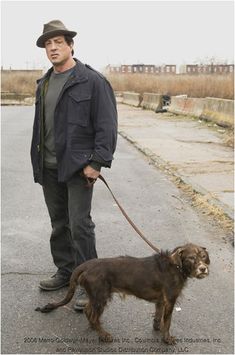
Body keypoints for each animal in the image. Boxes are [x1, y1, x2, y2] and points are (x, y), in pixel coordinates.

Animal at [36, 243, 209, 346]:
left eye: (204, 257)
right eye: (191, 258)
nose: (203, 269)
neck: (176, 266)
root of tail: (86, 265)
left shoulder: (161, 301)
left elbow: (158, 317)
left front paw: (157, 328)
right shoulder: (170, 300)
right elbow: (168, 322)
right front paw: (167, 339)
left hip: (96, 296)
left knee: (88, 310)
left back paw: (94, 327)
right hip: (100, 296)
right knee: (93, 315)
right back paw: (104, 335)